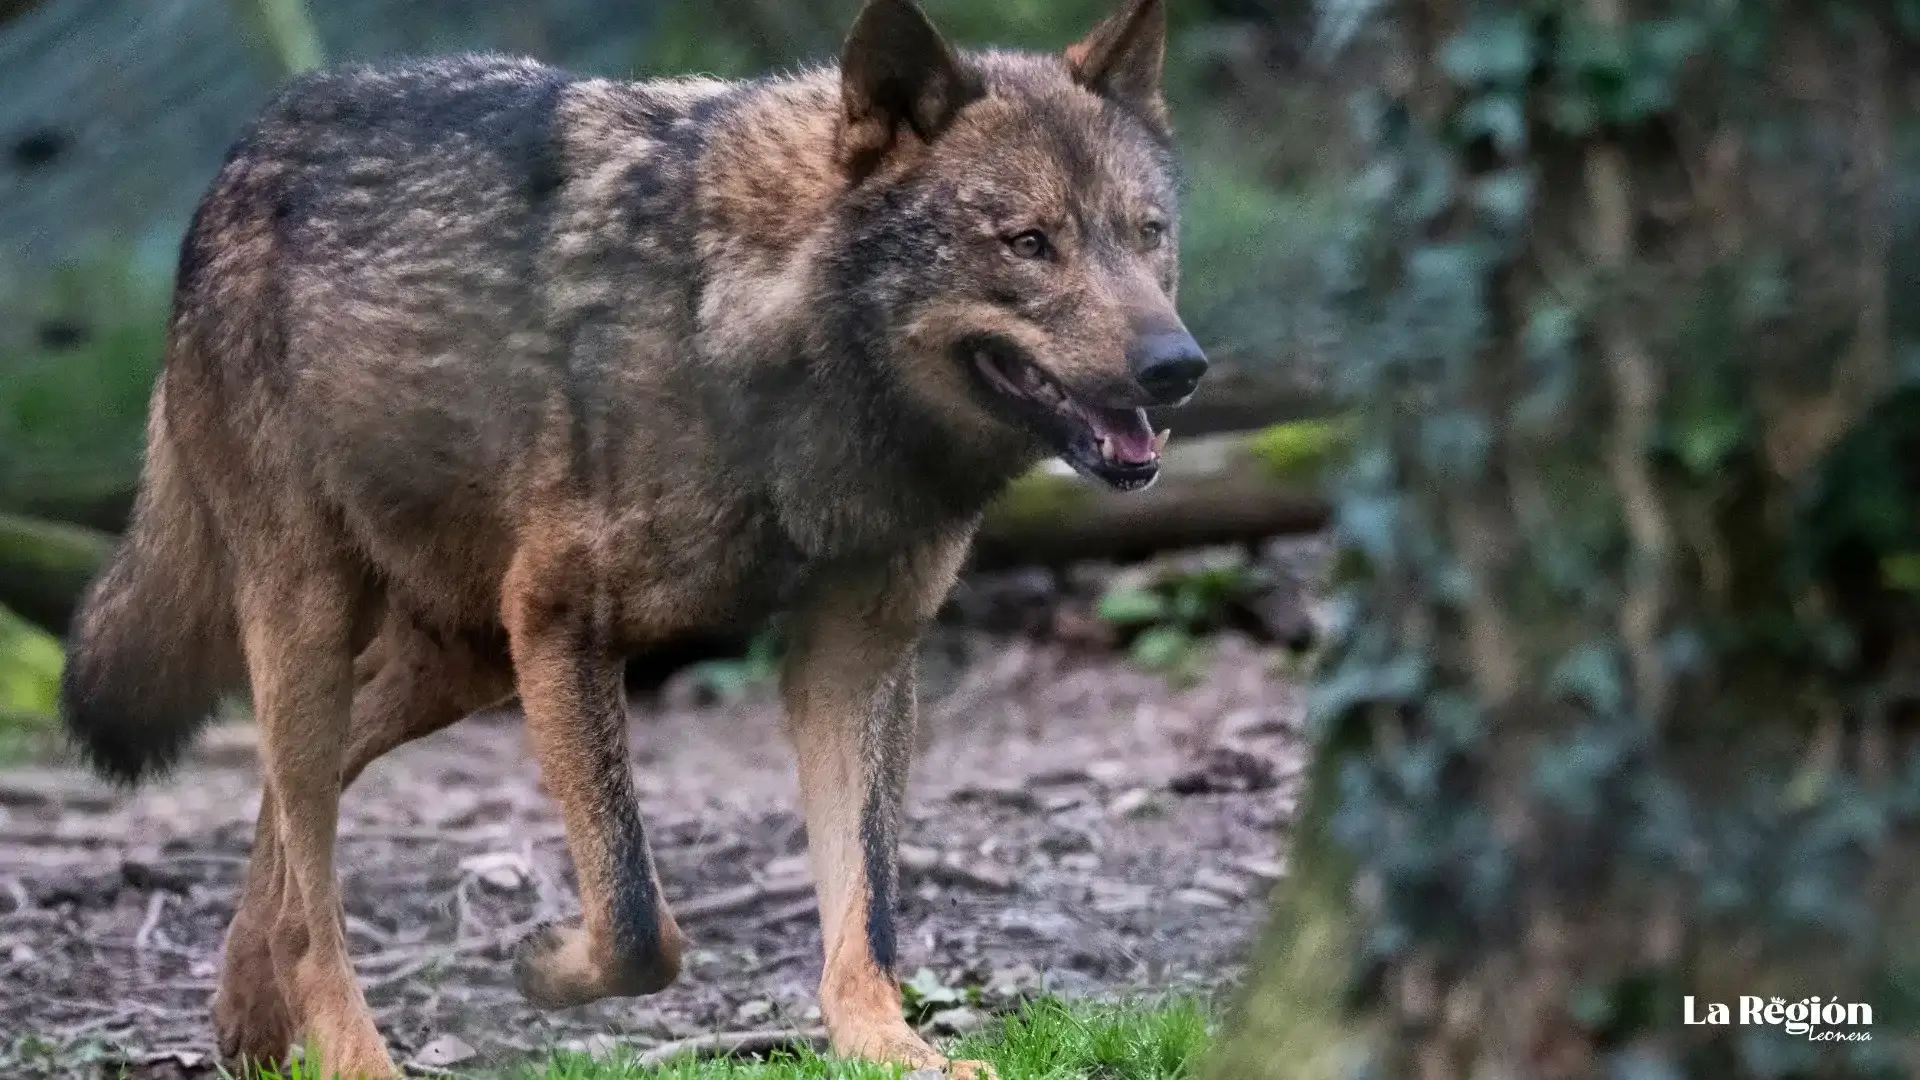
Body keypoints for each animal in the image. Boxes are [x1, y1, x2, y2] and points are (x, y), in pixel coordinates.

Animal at [59, 0, 1206, 1075]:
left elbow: (866, 905)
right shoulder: (562, 623)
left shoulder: (856, 654)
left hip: (461, 661)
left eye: (1147, 233)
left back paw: (249, 1017)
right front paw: (544, 965)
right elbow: (637, 919)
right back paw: (345, 1051)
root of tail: (249, 145)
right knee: (311, 874)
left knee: (290, 818)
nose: (1178, 366)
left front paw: (888, 1047)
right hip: (318, 623)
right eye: (1030, 242)